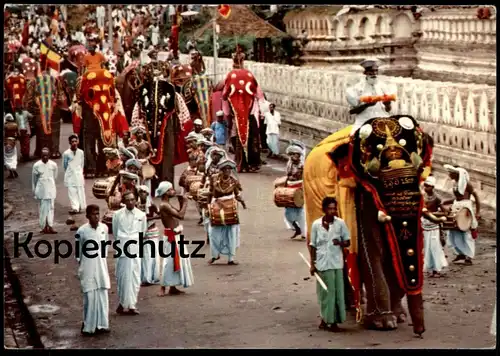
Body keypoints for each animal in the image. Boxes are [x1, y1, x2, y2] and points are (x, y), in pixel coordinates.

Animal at [302, 115, 436, 336]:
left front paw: (398, 317)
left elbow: (392, 262)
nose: (420, 332)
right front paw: (383, 323)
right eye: (375, 180)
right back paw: (349, 307)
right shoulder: (361, 203)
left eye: (420, 173)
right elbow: (371, 254)